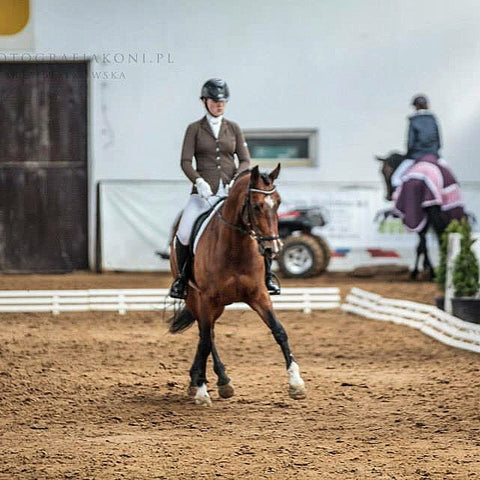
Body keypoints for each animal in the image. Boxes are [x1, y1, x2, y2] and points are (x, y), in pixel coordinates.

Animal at [167, 164, 306, 404]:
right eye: (257, 206)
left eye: (278, 203)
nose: (273, 249)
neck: (235, 247)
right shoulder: (207, 298)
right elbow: (205, 342)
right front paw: (203, 392)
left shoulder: (259, 295)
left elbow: (279, 331)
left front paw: (296, 383)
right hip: (195, 298)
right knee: (206, 336)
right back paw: (213, 381)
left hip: (218, 305)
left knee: (208, 333)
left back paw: (209, 380)